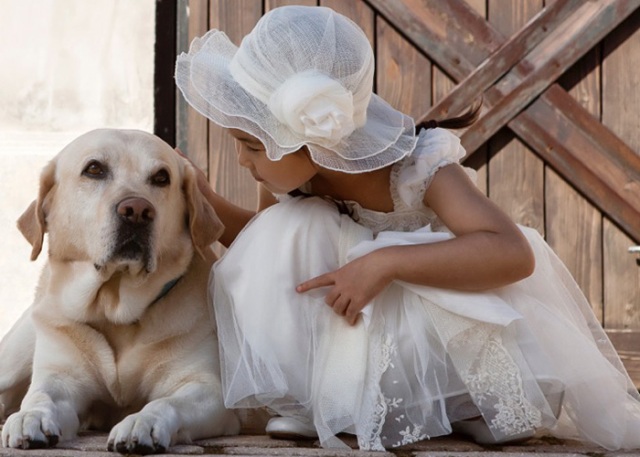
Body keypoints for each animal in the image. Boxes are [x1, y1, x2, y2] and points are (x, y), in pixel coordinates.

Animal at [0, 128, 240, 452]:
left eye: (162, 177)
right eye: (94, 169)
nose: (137, 210)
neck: (114, 309)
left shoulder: (208, 390)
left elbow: (165, 403)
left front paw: (141, 422)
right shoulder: (60, 378)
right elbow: (40, 395)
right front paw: (31, 416)